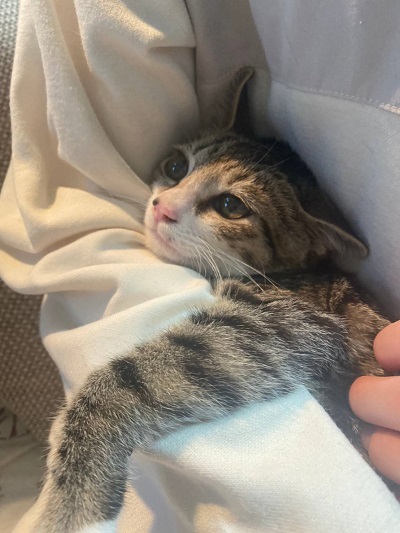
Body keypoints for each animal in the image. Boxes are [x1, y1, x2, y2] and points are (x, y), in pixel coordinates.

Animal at [36, 68, 389, 532]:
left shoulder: (285, 321)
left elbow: (138, 376)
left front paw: (75, 497)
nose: (162, 207)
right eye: (175, 167)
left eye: (229, 204)